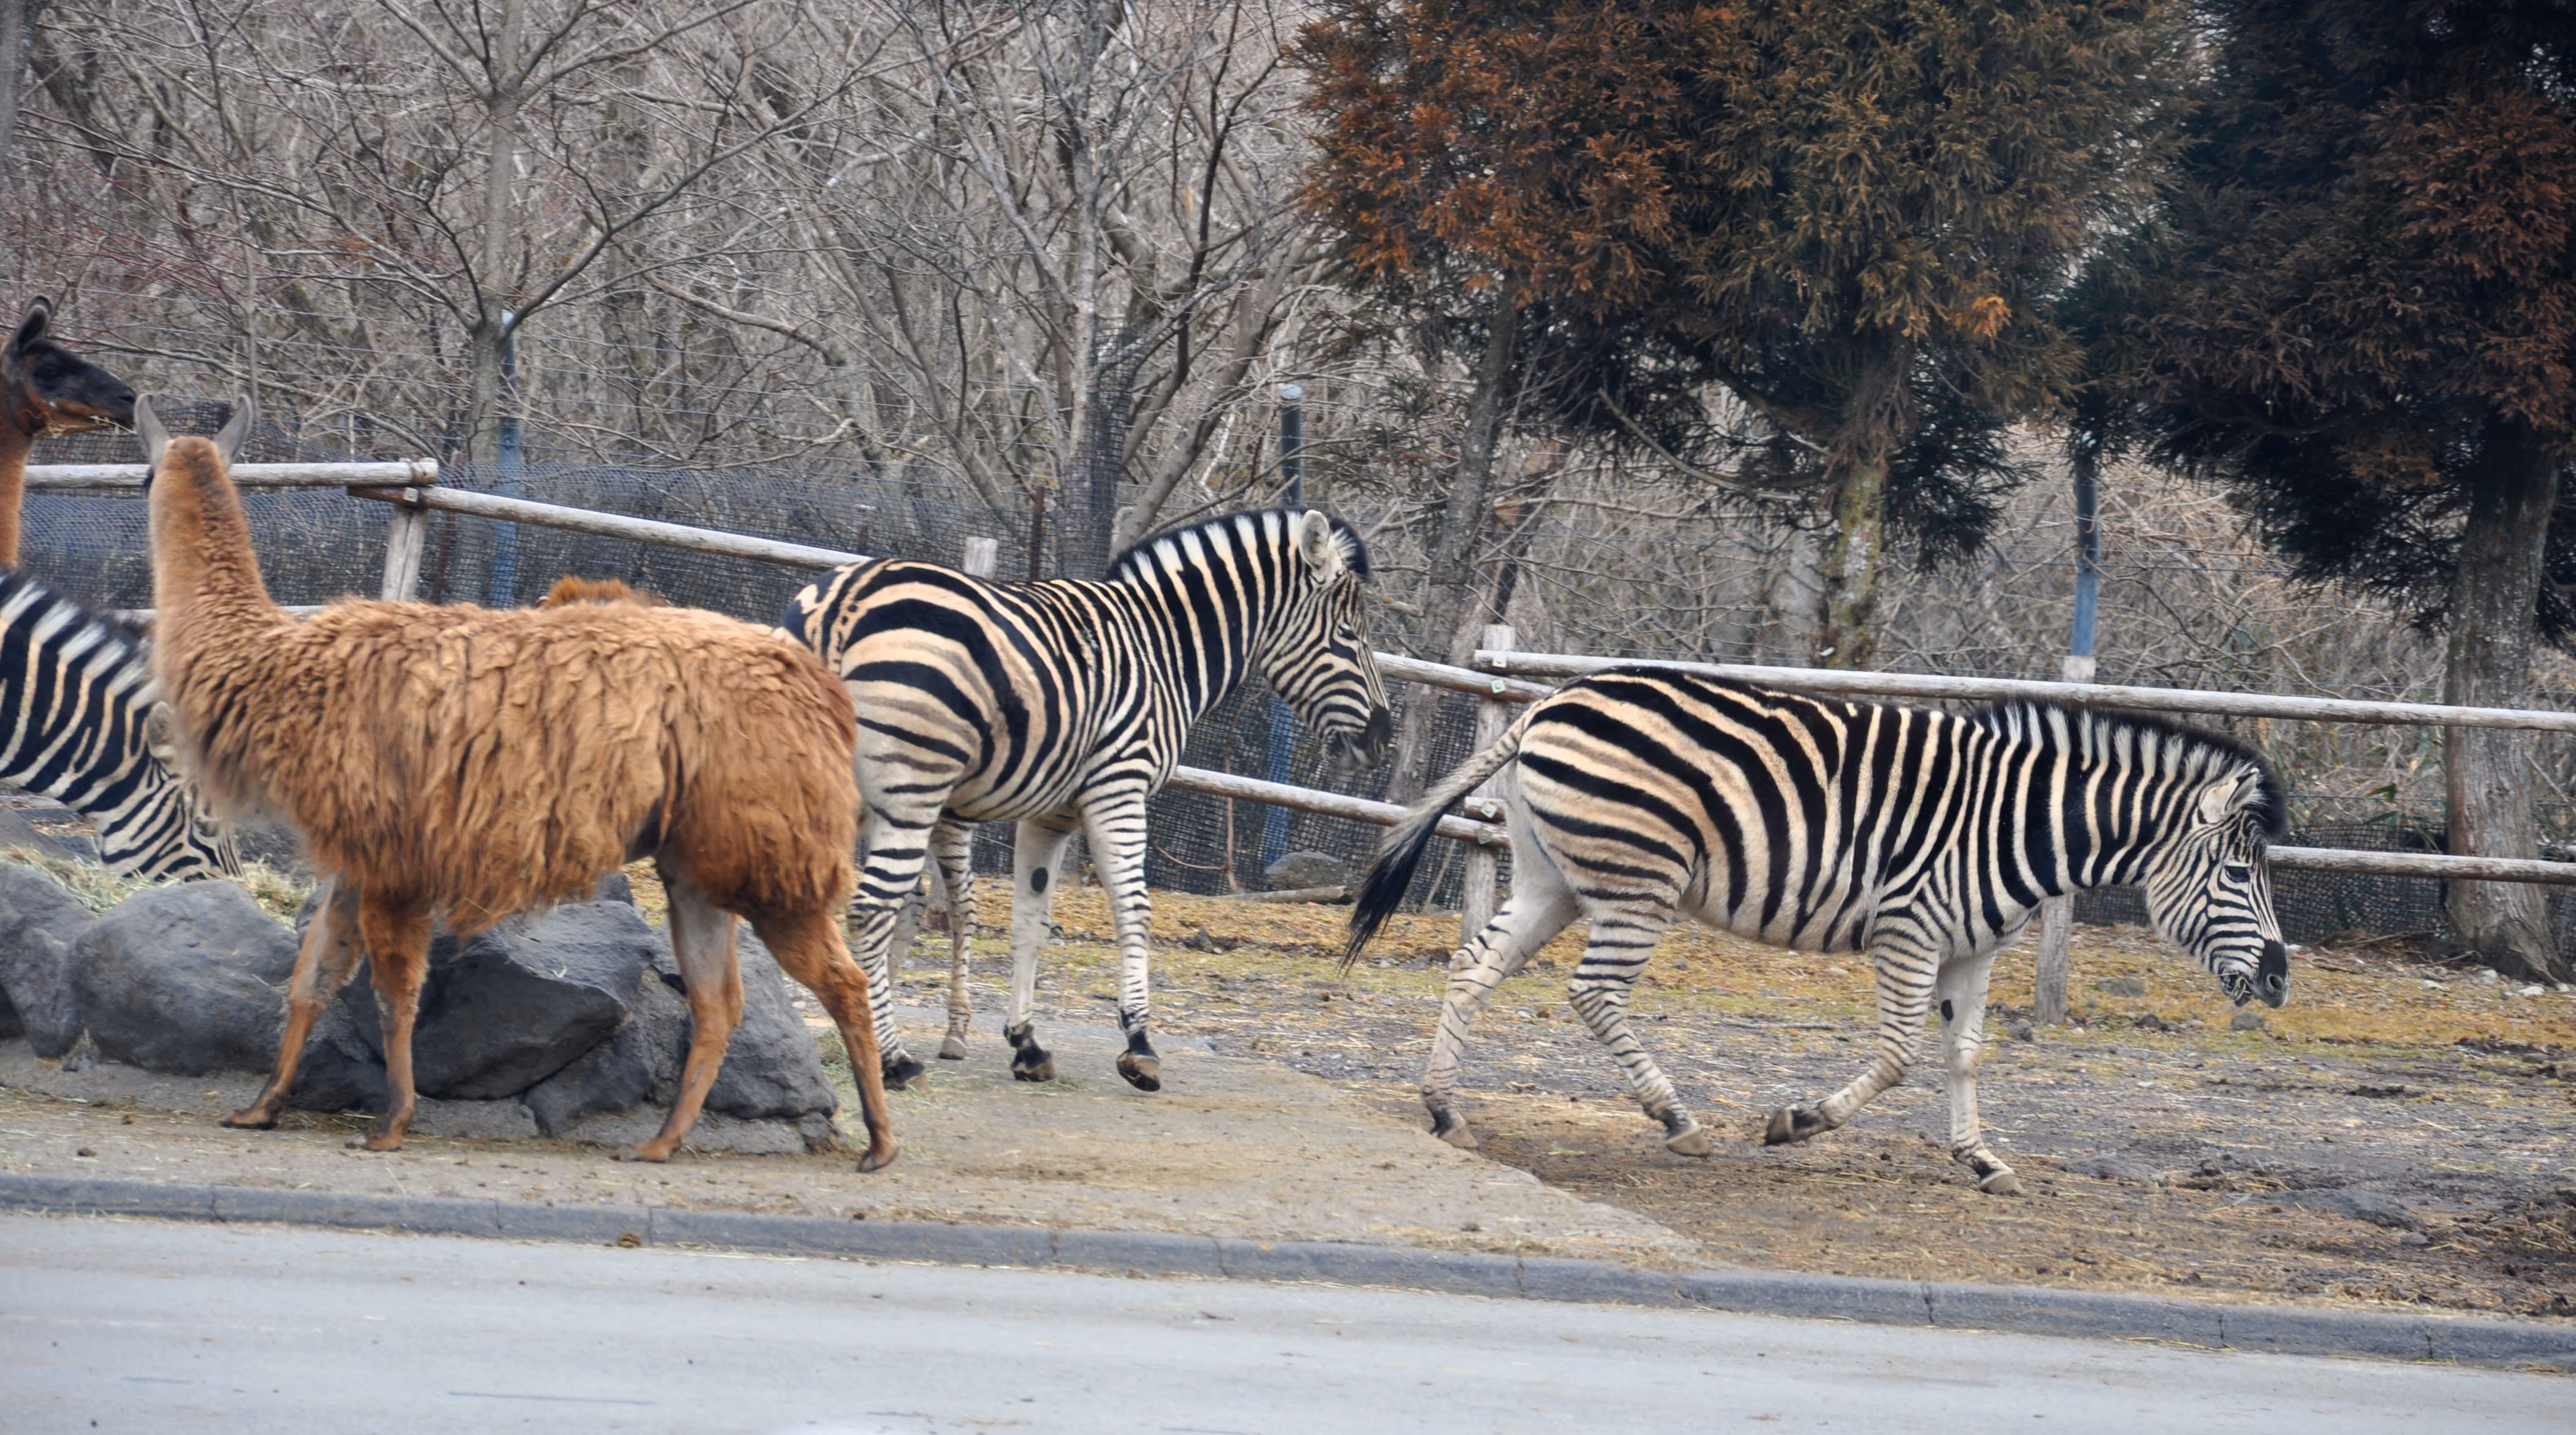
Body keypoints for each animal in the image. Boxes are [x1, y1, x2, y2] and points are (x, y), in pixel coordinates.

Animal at [785, 508, 1392, 1091]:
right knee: (869, 909)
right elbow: (1134, 909)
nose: (1381, 740)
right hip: (914, 789)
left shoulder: (1048, 815)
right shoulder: (1119, 787)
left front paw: (1026, 1044)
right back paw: (893, 1061)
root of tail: (841, 605)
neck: (1163, 651)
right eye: (1348, 636)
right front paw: (1140, 1046)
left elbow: (1031, 920)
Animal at [1343, 668, 2287, 1194]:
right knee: (1594, 992)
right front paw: (1795, 1121)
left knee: (1474, 965)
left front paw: (1981, 1161)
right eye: (2239, 876)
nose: (2281, 979)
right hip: (1640, 880)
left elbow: (1963, 1055)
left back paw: (1444, 1108)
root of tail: (1547, 702)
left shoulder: (1975, 948)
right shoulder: (1911, 929)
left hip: (1555, 878)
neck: (2019, 825)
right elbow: (1900, 1054)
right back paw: (1676, 1118)